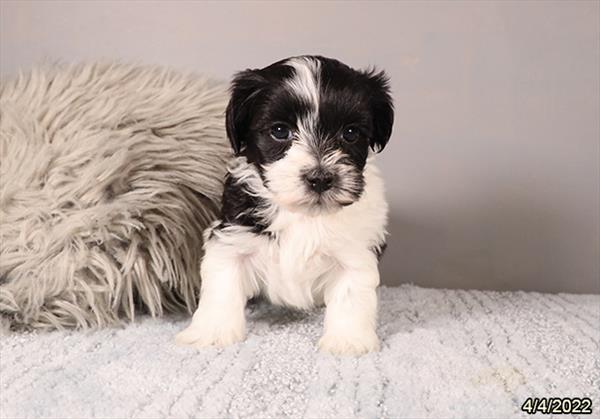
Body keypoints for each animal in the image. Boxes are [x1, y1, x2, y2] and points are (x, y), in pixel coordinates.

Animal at [176, 55, 394, 356]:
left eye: (350, 133)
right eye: (280, 131)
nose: (320, 178)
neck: (303, 213)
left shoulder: (357, 248)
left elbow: (352, 292)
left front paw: (347, 340)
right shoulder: (232, 235)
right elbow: (223, 284)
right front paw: (212, 332)